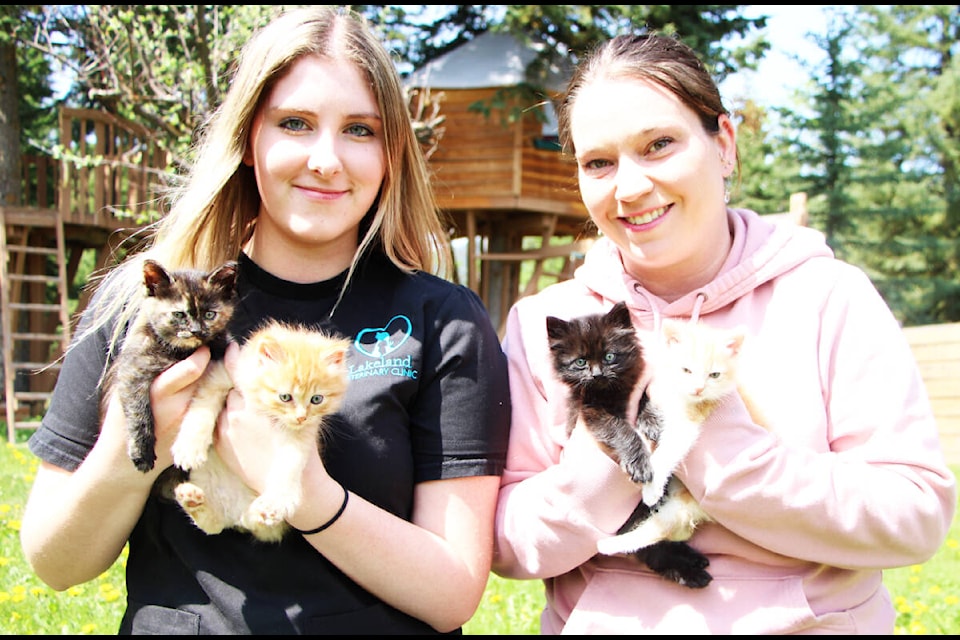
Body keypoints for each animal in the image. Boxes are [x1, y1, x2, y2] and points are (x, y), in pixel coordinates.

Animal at [103, 258, 240, 472]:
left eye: (210, 315)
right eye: (179, 315)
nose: (196, 331)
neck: (182, 352)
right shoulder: (132, 370)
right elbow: (138, 410)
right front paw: (141, 452)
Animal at [171, 320, 350, 540]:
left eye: (317, 399)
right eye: (285, 397)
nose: (301, 417)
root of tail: (235, 514)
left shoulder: (302, 434)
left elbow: (290, 464)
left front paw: (278, 501)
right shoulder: (218, 379)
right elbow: (201, 411)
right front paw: (189, 448)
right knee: (213, 526)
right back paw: (191, 499)